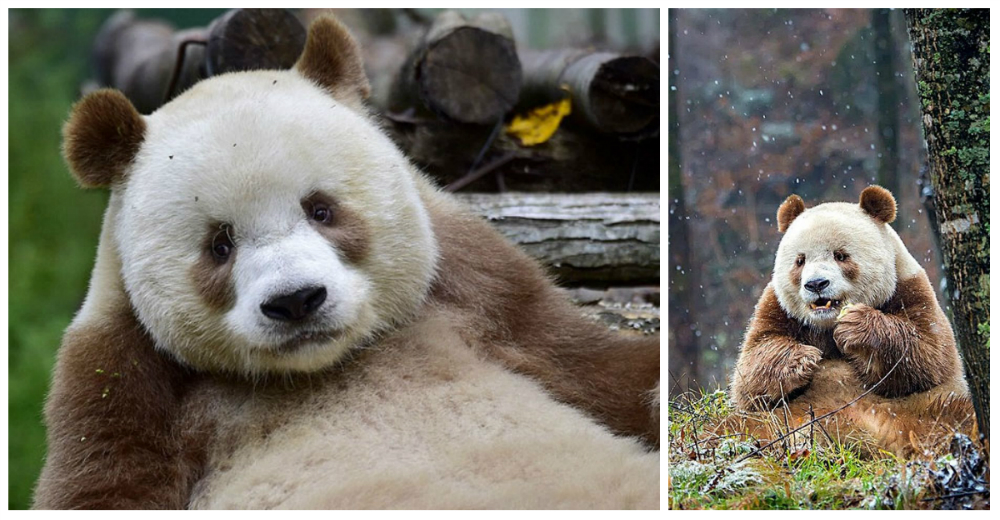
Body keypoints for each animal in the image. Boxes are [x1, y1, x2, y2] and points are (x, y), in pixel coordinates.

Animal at [31, 17, 660, 512]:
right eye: (219, 244)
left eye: (321, 209)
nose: (296, 301)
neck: (325, 365)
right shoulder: (123, 373)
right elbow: (105, 483)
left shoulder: (480, 293)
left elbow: (592, 365)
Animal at [732, 187, 972, 456]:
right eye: (800, 260)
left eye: (841, 256)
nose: (816, 284)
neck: (826, 325)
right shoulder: (777, 307)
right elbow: (751, 372)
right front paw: (802, 359)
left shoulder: (910, 289)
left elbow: (927, 354)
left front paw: (856, 328)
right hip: (777, 419)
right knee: (735, 426)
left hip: (922, 409)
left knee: (955, 415)